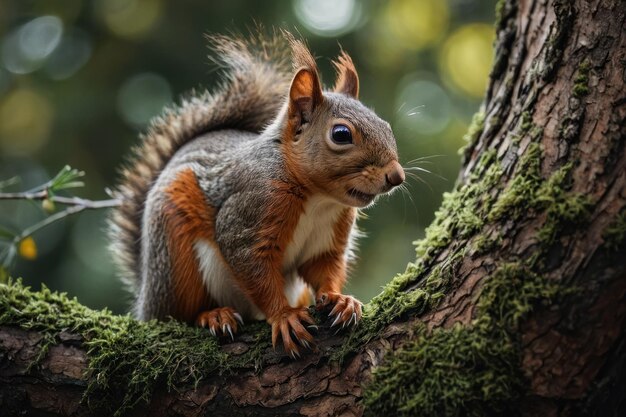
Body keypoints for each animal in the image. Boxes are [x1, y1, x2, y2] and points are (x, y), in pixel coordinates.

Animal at [108, 32, 404, 356]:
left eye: (386, 126)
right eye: (341, 134)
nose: (396, 176)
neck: (318, 199)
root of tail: (145, 298)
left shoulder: (327, 238)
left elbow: (323, 268)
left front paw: (341, 300)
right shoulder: (248, 214)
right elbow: (255, 271)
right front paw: (284, 316)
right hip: (175, 257)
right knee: (178, 314)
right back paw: (212, 315)